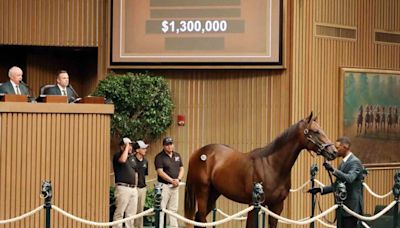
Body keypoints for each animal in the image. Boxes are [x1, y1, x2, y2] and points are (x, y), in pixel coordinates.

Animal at [184, 112, 338, 228]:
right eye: (316, 131)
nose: (334, 152)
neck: (272, 165)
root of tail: (198, 153)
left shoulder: (277, 206)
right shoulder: (254, 205)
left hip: (214, 193)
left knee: (198, 218)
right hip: (203, 191)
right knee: (201, 218)